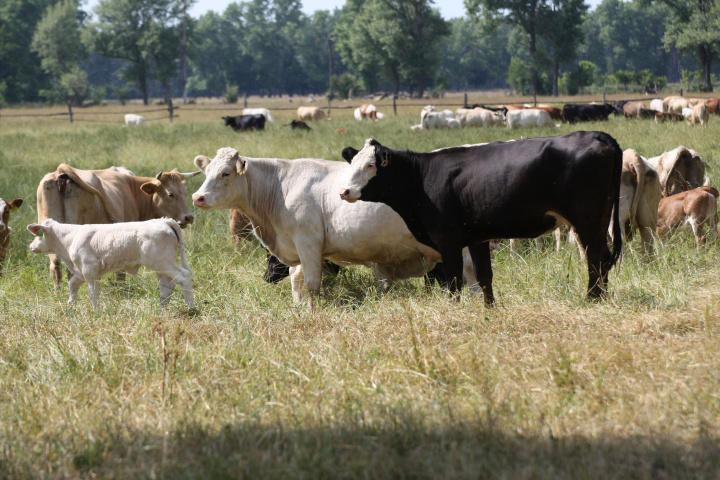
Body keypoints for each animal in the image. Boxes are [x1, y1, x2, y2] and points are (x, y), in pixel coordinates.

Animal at [28, 219, 194, 310]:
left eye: (38, 234)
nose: (31, 246)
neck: (71, 237)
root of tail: (163, 220)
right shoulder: (82, 271)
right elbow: (73, 284)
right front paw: (70, 304)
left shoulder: (89, 270)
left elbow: (93, 293)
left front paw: (97, 311)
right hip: (162, 267)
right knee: (167, 287)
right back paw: (160, 311)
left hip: (163, 263)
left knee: (184, 278)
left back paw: (191, 308)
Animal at [36, 163, 200, 286]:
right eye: (170, 194)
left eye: (185, 193)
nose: (189, 217)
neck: (131, 189)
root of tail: (61, 171)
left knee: (56, 265)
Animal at [193, 146, 444, 306]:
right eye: (207, 172)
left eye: (225, 173)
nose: (197, 197)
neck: (281, 187)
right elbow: (296, 281)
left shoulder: (308, 243)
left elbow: (311, 283)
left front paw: (312, 311)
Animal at [338, 132, 624, 304]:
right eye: (353, 164)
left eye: (371, 166)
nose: (344, 191)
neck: (423, 178)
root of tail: (596, 135)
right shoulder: (477, 238)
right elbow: (484, 276)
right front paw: (490, 309)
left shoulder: (449, 241)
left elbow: (454, 281)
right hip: (599, 220)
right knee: (603, 257)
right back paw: (601, 297)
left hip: (586, 221)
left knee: (595, 258)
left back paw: (592, 299)